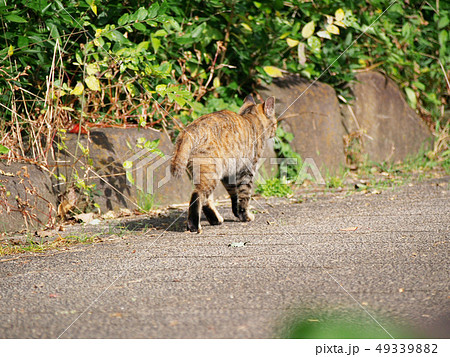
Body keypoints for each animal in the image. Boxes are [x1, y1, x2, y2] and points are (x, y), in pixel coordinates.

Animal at [171, 94, 276, 232]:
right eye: (276, 123)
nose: (275, 131)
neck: (251, 118)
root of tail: (189, 130)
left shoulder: (230, 174)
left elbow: (235, 196)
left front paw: (238, 213)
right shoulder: (247, 171)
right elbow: (244, 195)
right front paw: (245, 216)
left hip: (206, 173)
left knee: (206, 199)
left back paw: (215, 220)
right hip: (211, 172)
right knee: (197, 195)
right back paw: (194, 225)